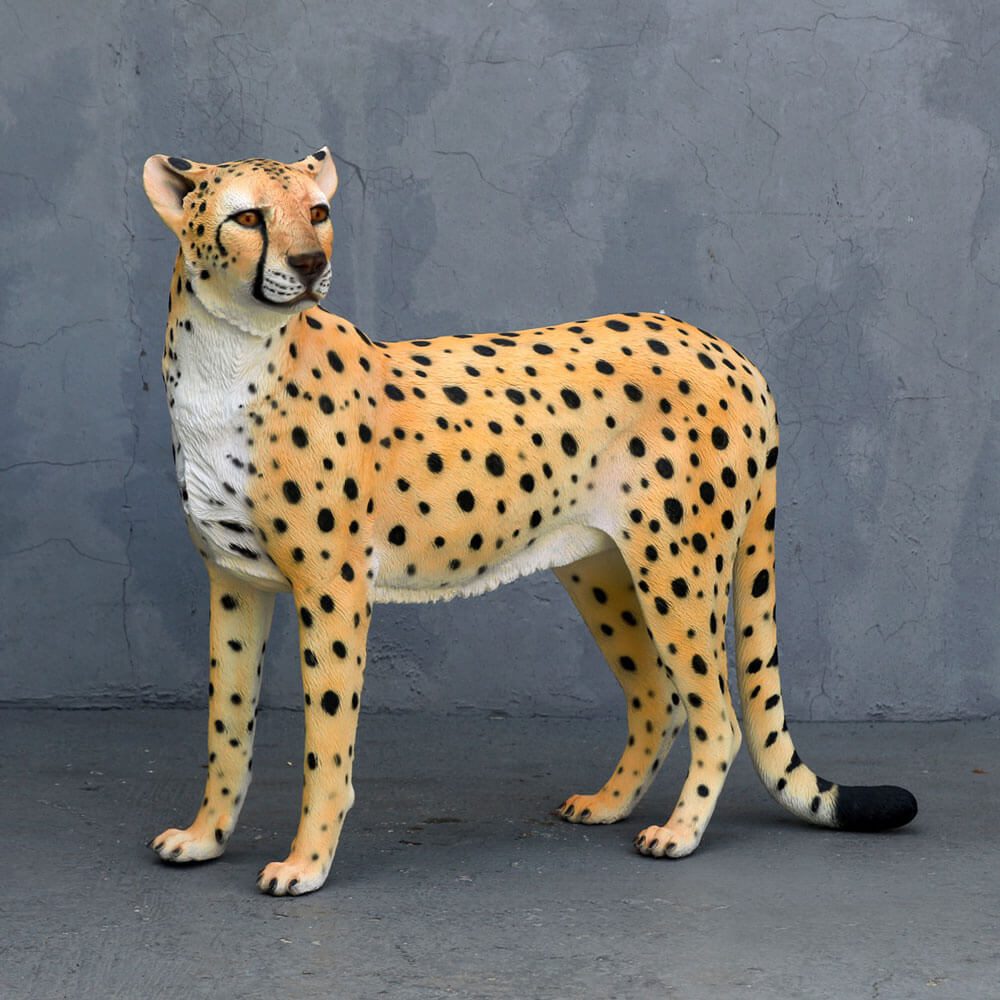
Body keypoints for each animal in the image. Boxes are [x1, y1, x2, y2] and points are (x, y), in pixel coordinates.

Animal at [142, 148, 917, 896]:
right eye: (248, 217)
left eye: (319, 211)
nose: (309, 264)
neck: (227, 357)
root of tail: (727, 350)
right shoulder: (235, 583)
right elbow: (226, 724)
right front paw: (205, 838)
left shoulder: (334, 591)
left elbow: (325, 743)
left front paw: (306, 864)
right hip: (600, 567)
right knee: (659, 697)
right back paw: (608, 803)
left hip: (679, 567)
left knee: (717, 716)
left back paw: (680, 832)